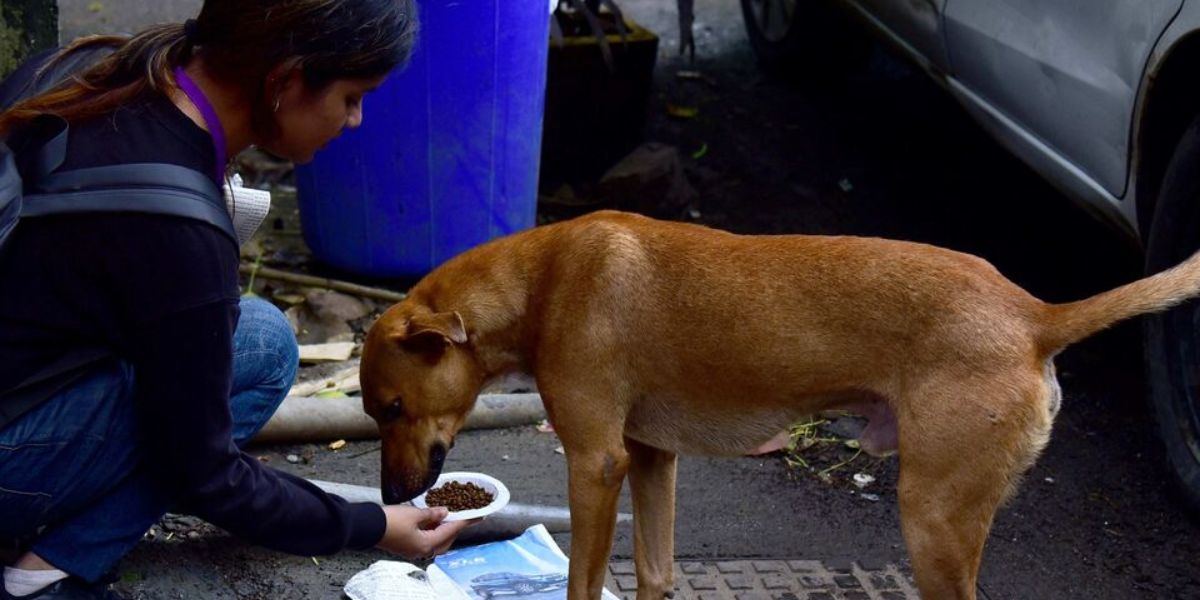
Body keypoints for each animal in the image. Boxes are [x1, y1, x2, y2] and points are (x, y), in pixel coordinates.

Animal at [360, 208, 1200, 597]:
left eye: (390, 408)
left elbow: (583, 584)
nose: (393, 499)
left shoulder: (596, 465)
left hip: (935, 519)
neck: (547, 279)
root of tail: (1033, 315)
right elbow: (655, 571)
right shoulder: (651, 460)